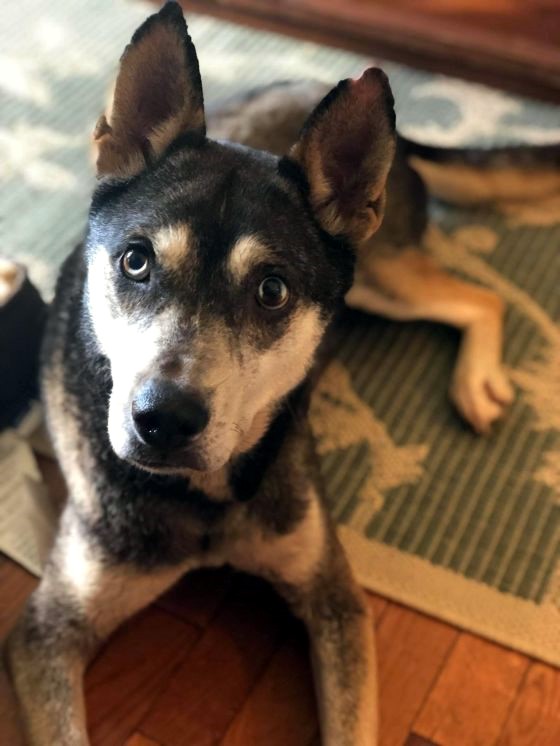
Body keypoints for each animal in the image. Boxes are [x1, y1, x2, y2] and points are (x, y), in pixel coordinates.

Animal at [7, 2, 560, 744]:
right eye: (135, 261)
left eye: (272, 291)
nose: (163, 420)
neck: (206, 495)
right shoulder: (47, 632)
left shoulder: (335, 599)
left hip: (381, 273)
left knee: (482, 298)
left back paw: (478, 384)